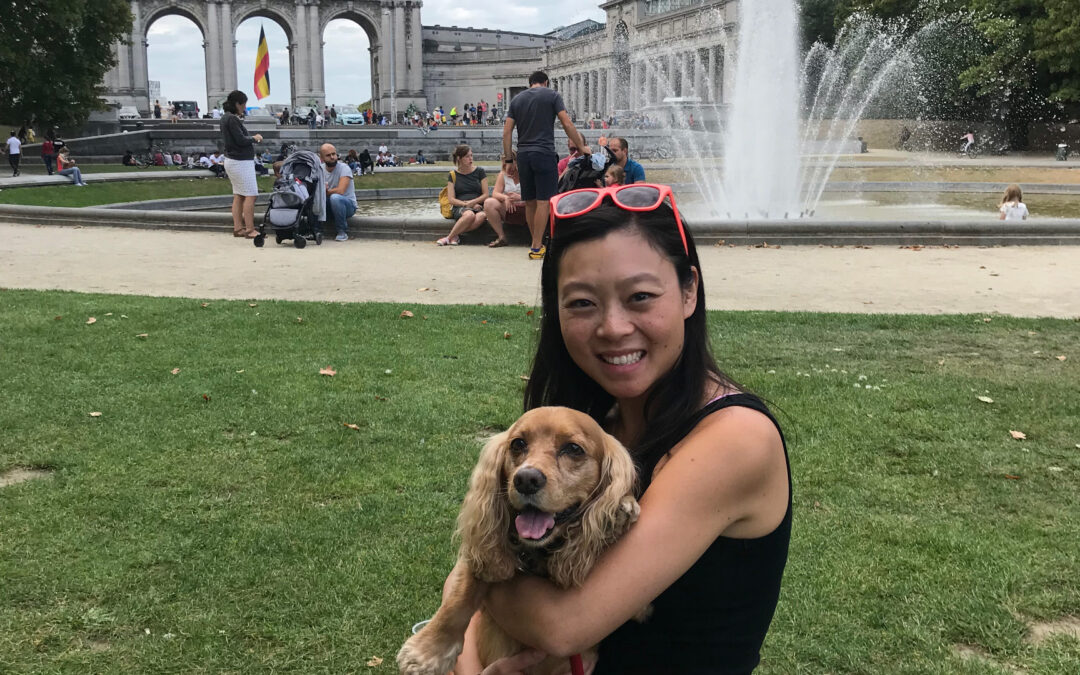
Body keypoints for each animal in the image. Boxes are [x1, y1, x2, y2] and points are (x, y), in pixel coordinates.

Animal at [397, 406, 639, 673]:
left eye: (574, 449)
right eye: (518, 444)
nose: (526, 479)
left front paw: (618, 512)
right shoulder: (481, 555)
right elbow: (462, 592)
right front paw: (427, 652)